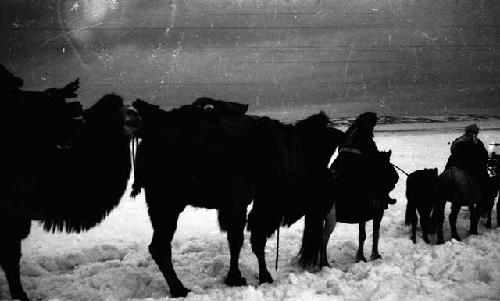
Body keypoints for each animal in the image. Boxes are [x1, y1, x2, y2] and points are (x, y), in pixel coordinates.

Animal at [131, 98, 346, 296]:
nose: (331, 187)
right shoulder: (246, 204)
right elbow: (244, 240)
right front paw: (247, 277)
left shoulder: (246, 205)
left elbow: (246, 241)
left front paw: (250, 276)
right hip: (167, 204)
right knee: (160, 247)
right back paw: (179, 288)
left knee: (159, 246)